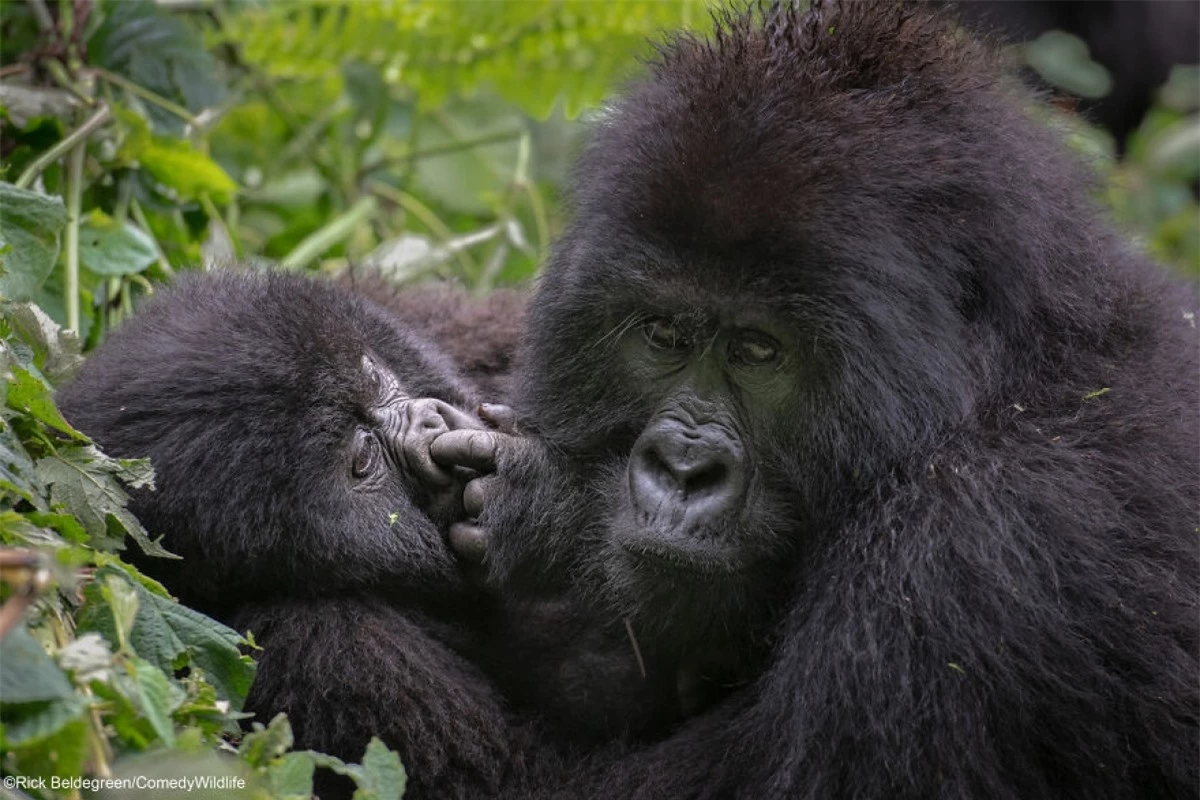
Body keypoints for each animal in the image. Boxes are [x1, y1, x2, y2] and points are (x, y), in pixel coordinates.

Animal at [436, 3, 1195, 796]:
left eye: (759, 351)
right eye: (665, 334)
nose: (682, 470)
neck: (1002, 383)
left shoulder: (969, 554)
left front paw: (551, 507)